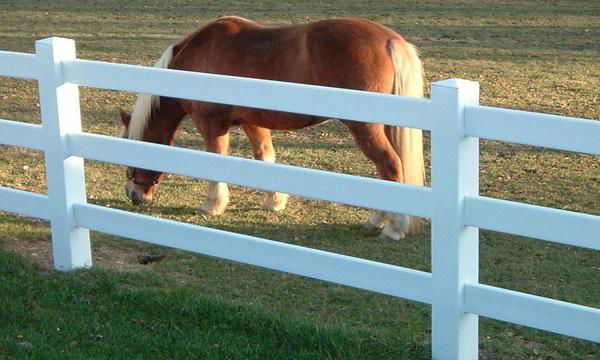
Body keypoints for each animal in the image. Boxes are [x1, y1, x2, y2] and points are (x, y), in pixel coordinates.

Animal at [118, 17, 426, 242]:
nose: (135, 196)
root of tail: (391, 41)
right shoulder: (253, 122)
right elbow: (265, 158)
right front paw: (274, 202)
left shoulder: (211, 123)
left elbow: (217, 162)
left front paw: (212, 206)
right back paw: (380, 220)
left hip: (366, 128)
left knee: (389, 165)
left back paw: (392, 227)